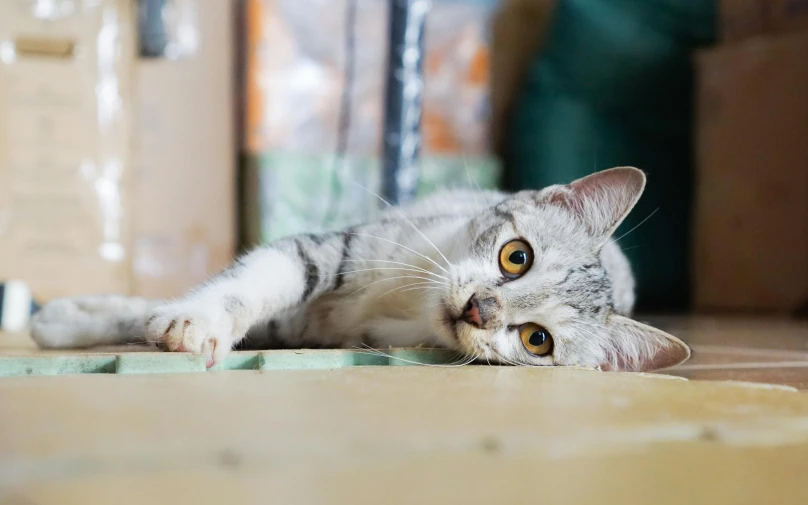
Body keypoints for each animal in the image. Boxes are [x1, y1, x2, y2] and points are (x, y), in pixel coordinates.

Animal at [31, 165, 688, 370]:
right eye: (516, 256)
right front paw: (188, 320)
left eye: (537, 340)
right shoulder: (335, 248)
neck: (406, 301)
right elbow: (252, 280)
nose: (480, 308)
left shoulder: (306, 327)